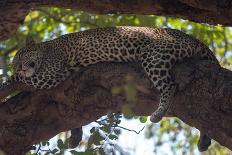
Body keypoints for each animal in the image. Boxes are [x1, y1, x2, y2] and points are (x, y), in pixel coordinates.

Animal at [1, 26, 219, 151]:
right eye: (15, 63)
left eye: (22, 57)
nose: (19, 67)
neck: (46, 49)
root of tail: (194, 39)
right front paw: (75, 137)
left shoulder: (50, 74)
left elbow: (18, 79)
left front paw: (8, 82)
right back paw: (204, 141)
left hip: (154, 56)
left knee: (170, 85)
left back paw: (158, 113)